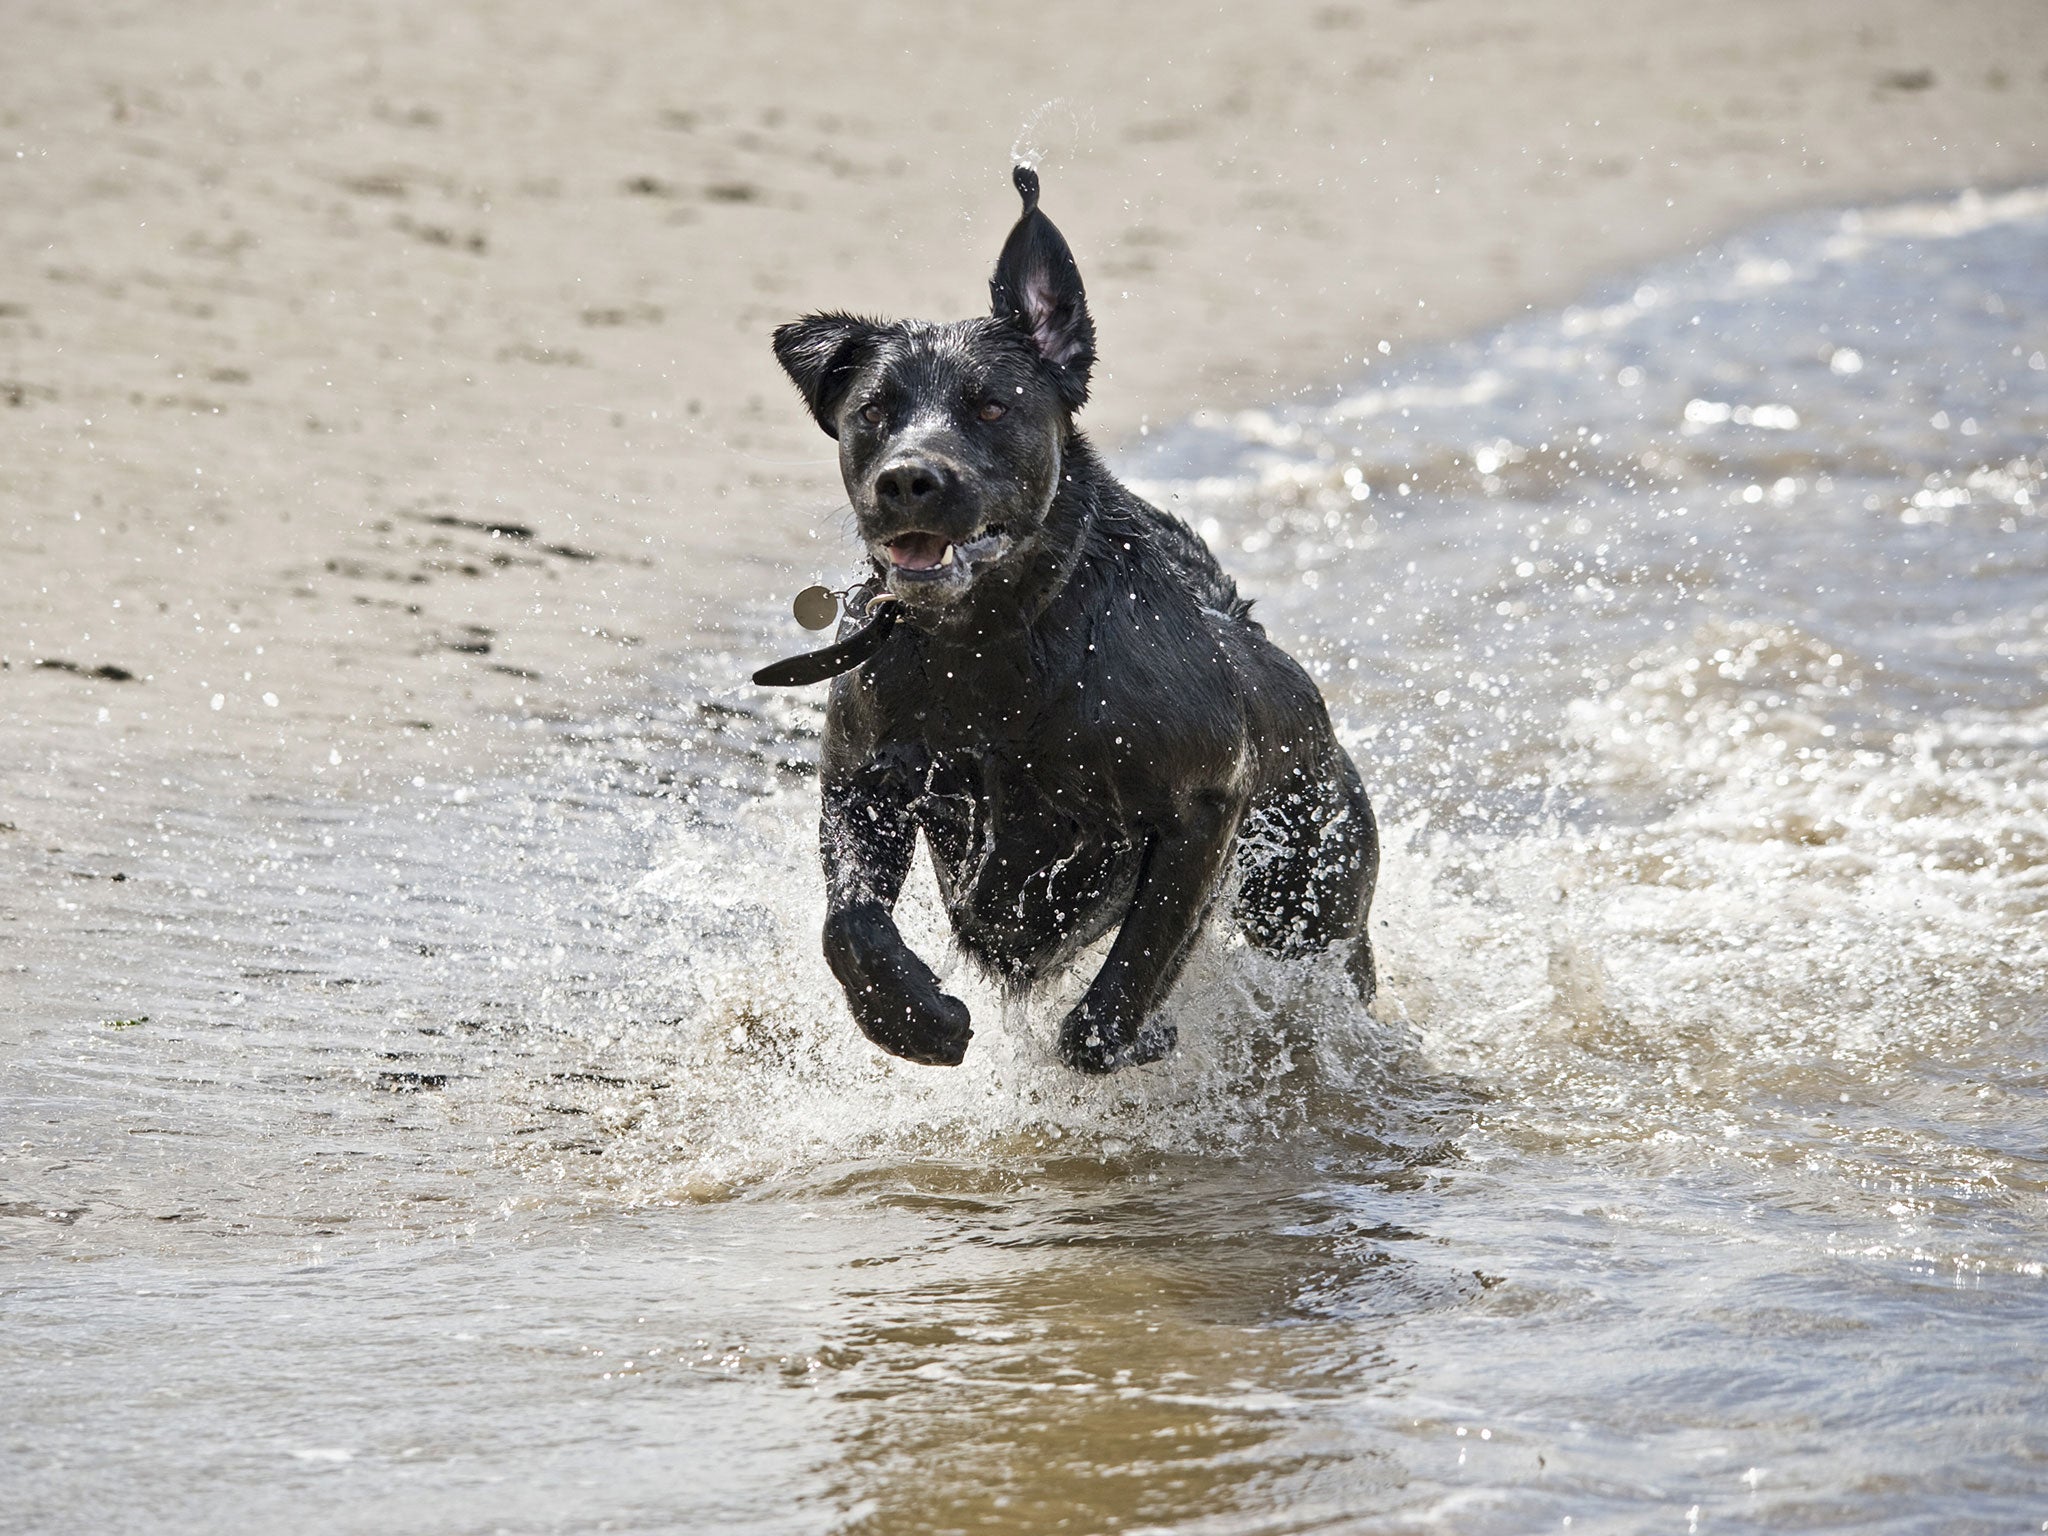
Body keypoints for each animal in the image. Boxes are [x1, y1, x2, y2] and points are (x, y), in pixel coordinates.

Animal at [770, 165, 1376, 1073]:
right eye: (872, 412)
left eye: (991, 408)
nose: (908, 480)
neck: (989, 646)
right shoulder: (861, 777)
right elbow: (849, 921)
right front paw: (912, 1017)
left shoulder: (1206, 806)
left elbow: (1134, 971)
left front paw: (1134, 1031)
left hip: (1311, 892)